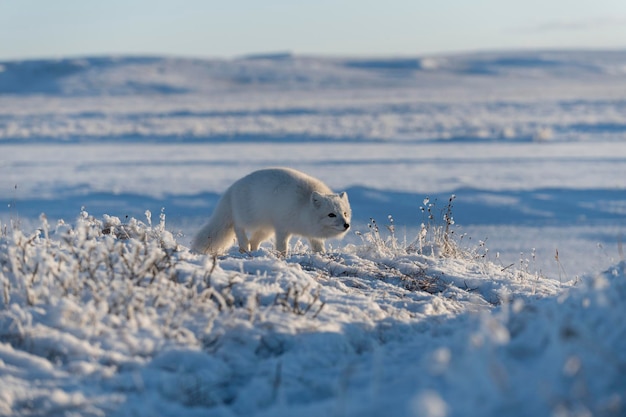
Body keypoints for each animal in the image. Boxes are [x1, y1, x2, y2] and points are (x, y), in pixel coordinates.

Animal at [190, 167, 352, 255]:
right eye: (331, 215)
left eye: (344, 213)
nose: (346, 225)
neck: (303, 206)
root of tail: (233, 187)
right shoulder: (282, 228)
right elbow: (282, 247)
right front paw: (282, 257)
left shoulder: (312, 234)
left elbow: (318, 248)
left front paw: (322, 256)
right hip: (251, 219)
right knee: (238, 226)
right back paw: (244, 246)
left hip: (266, 229)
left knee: (254, 240)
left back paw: (254, 251)